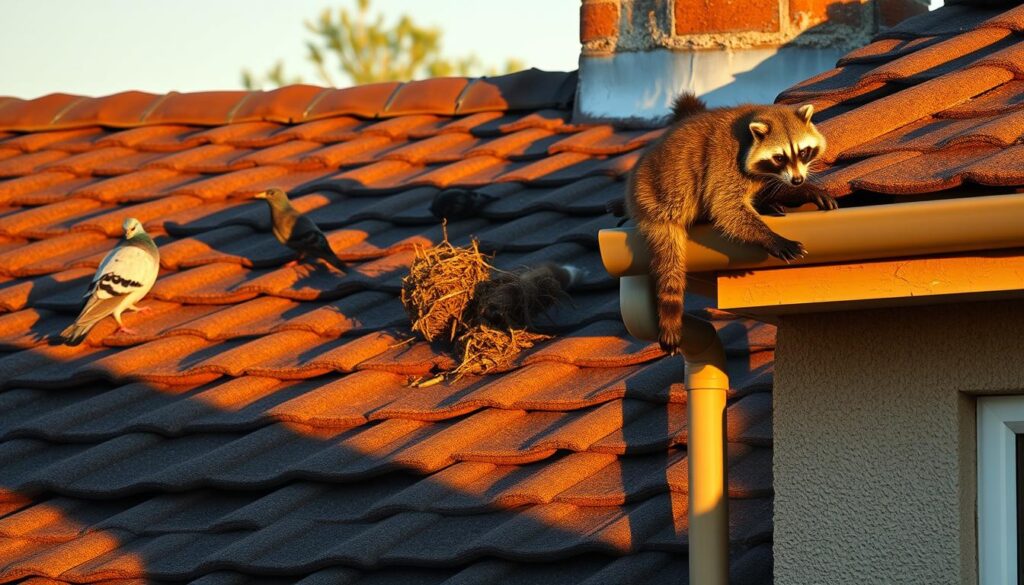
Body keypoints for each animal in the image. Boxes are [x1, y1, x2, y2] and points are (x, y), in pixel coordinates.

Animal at [626, 93, 836, 353]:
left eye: (804, 152)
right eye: (779, 157)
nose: (797, 180)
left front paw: (800, 191)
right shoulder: (725, 163)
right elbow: (725, 207)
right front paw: (771, 237)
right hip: (658, 200)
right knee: (671, 255)